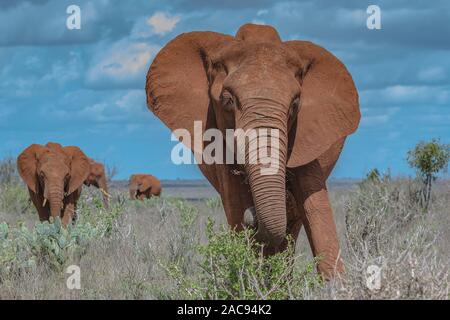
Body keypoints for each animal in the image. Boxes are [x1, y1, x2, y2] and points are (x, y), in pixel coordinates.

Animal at [146, 22, 360, 278]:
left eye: (295, 104)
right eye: (227, 100)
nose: (253, 217)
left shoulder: (307, 135)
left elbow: (315, 206)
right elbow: (236, 202)